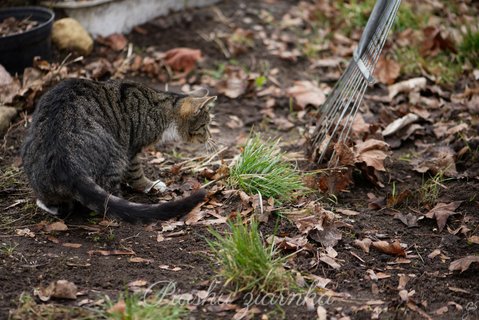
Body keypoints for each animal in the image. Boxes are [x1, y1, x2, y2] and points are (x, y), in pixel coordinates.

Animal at [23, 78, 215, 222]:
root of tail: (64, 163)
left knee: (56, 205)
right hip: (117, 155)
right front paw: (149, 185)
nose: (209, 137)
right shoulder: (132, 148)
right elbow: (136, 174)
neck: (165, 106)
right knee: (108, 196)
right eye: (205, 125)